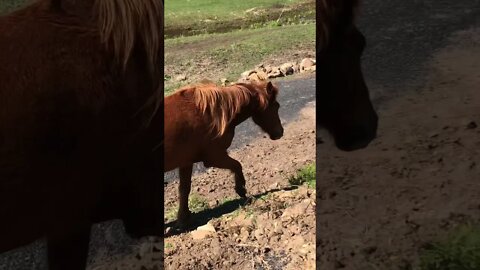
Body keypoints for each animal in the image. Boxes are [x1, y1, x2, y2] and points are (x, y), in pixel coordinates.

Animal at [166, 80, 284, 226]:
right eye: (276, 106)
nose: (280, 132)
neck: (207, 113)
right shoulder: (214, 157)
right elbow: (237, 165)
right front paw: (241, 189)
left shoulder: (186, 162)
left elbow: (184, 189)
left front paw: (184, 218)